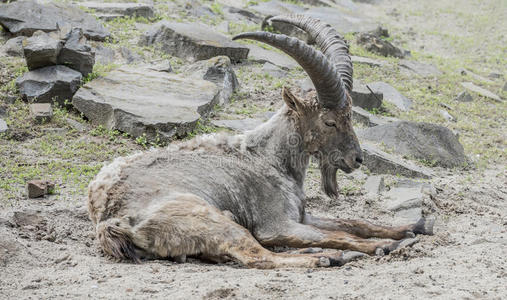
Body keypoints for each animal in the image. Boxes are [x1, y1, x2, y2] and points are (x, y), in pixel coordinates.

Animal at [86, 15, 432, 268]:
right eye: (330, 121)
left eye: (350, 114)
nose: (356, 159)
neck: (267, 158)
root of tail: (111, 222)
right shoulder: (277, 224)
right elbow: (338, 234)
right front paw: (386, 244)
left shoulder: (301, 216)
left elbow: (352, 222)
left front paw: (415, 226)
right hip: (212, 218)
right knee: (255, 256)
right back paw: (326, 258)